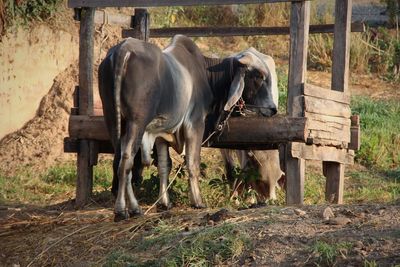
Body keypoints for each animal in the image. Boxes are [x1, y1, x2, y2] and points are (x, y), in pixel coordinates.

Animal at [99, 35, 278, 222]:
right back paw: (126, 209)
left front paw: (165, 203)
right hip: (136, 123)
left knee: (118, 160)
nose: (273, 109)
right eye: (258, 75)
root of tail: (123, 50)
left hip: (113, 119)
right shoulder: (195, 123)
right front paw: (197, 201)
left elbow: (164, 166)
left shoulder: (161, 134)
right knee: (127, 160)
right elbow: (192, 163)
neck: (207, 74)